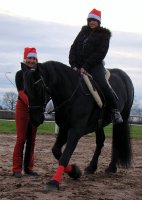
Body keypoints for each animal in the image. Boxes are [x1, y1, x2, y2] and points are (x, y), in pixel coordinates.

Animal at [21, 60, 134, 191]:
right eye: (25, 91)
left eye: (38, 88)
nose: (35, 119)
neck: (71, 95)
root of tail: (124, 76)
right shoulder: (64, 128)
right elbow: (56, 151)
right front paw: (75, 172)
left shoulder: (75, 131)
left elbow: (65, 156)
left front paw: (54, 182)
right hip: (98, 124)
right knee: (100, 141)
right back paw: (91, 167)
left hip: (123, 116)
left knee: (117, 140)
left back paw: (111, 167)